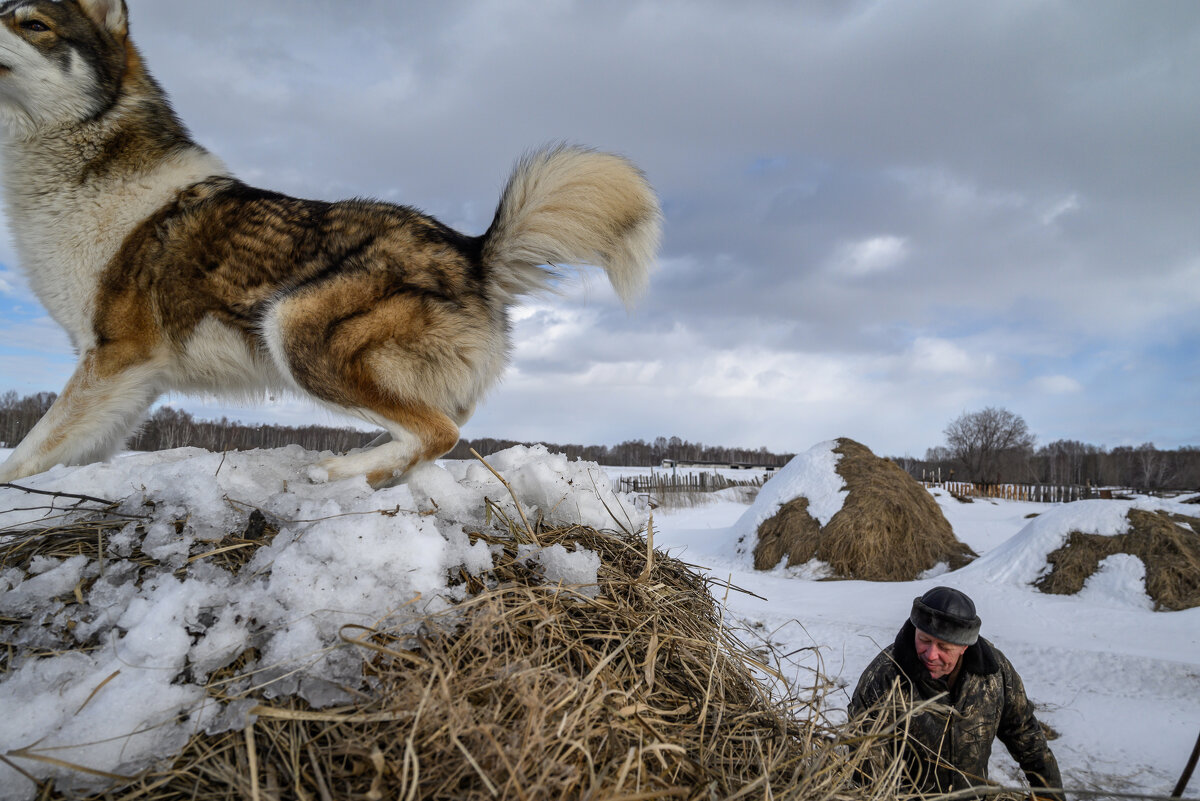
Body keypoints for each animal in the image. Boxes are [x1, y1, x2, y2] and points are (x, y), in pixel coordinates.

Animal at [0, 0, 657, 484]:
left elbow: (29, 447)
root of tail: (472, 251)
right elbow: (74, 448)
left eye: (33, 24)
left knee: (438, 431)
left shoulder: (114, 355)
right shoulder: (131, 379)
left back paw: (339, 471)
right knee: (431, 431)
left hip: (293, 326)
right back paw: (370, 471)